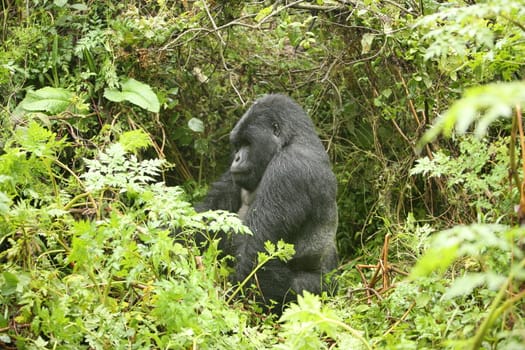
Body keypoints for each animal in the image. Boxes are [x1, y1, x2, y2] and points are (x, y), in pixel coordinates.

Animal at [195, 93, 336, 312]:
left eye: (247, 143)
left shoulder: (289, 169)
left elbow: (257, 253)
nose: (236, 158)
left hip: (327, 289)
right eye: (238, 145)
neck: (294, 139)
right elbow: (210, 213)